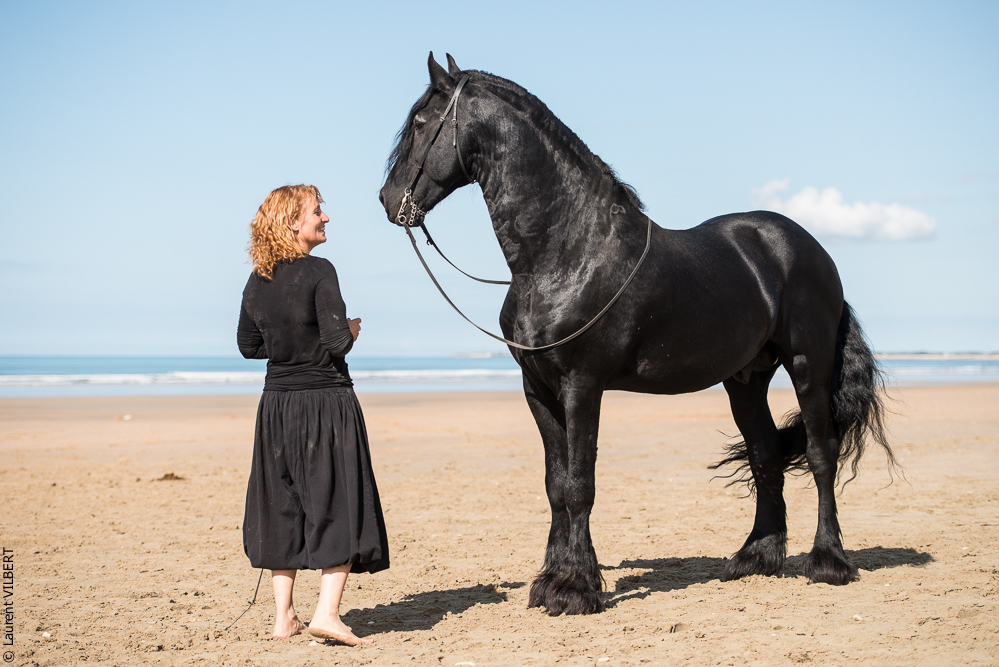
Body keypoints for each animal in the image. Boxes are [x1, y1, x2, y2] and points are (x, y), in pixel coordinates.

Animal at [379, 53, 896, 616]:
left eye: (421, 123)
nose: (387, 199)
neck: (566, 253)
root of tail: (811, 249)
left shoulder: (582, 386)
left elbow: (580, 485)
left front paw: (576, 588)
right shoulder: (538, 389)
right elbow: (555, 485)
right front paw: (551, 581)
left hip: (808, 366)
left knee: (821, 454)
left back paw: (828, 562)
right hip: (745, 380)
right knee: (766, 456)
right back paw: (755, 557)